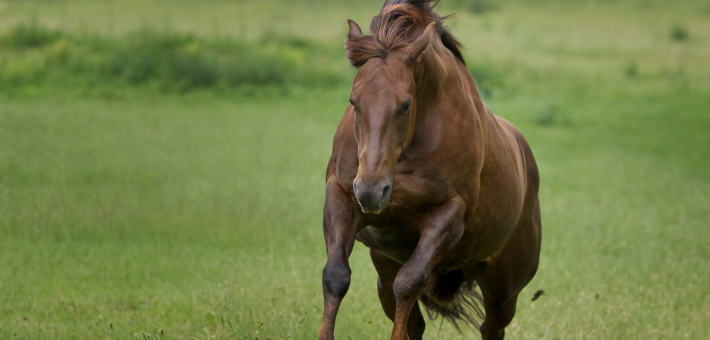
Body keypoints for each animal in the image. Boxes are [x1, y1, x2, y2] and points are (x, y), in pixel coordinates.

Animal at [320, 1, 544, 338]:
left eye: (406, 104)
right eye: (353, 101)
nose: (371, 192)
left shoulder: (447, 216)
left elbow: (408, 283)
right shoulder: (340, 196)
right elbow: (335, 277)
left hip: (503, 289)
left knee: (491, 326)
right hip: (384, 267)